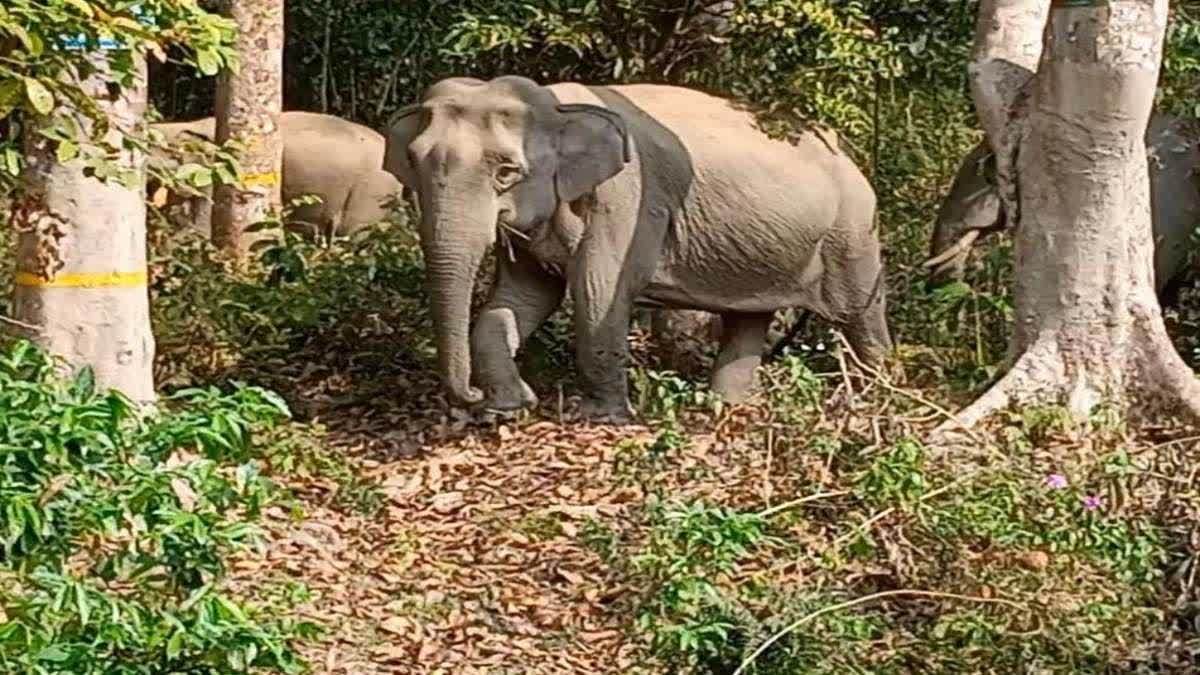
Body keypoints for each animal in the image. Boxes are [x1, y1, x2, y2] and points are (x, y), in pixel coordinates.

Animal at [384, 74, 892, 420]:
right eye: (411, 160)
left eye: (506, 171)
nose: (469, 396)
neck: (556, 105)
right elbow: (519, 298)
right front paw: (506, 409)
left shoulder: (626, 197)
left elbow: (598, 292)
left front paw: (602, 419)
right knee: (748, 317)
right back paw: (726, 406)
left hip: (852, 232)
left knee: (860, 315)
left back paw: (883, 397)